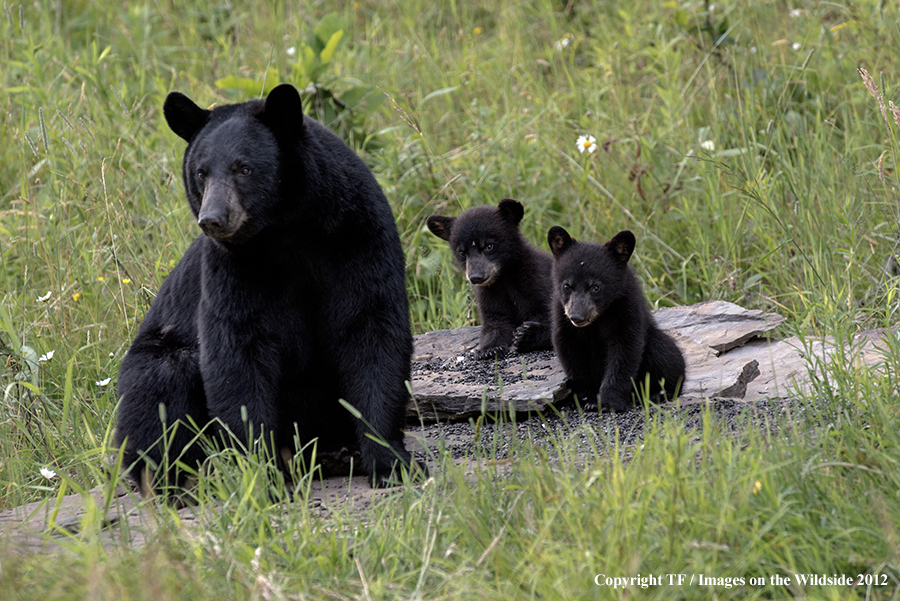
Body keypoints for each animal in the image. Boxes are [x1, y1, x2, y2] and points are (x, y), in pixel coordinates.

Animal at [115, 84, 418, 492]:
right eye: (201, 173)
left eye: (243, 168)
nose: (213, 219)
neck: (285, 232)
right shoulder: (232, 269)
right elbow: (237, 354)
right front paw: (261, 473)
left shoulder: (359, 238)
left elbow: (372, 330)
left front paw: (389, 462)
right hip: (157, 353)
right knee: (158, 391)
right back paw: (178, 479)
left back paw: (336, 451)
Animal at [426, 199, 552, 358]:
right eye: (462, 252)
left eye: (489, 246)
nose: (476, 277)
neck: (504, 278)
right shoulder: (490, 292)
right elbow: (494, 322)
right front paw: (490, 349)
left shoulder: (535, 279)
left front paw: (527, 335)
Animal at [548, 225, 684, 412]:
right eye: (567, 286)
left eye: (595, 287)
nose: (577, 316)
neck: (598, 319)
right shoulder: (562, 315)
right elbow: (570, 353)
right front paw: (587, 398)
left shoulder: (626, 307)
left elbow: (624, 351)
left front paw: (610, 402)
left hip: (656, 343)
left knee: (665, 353)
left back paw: (657, 394)